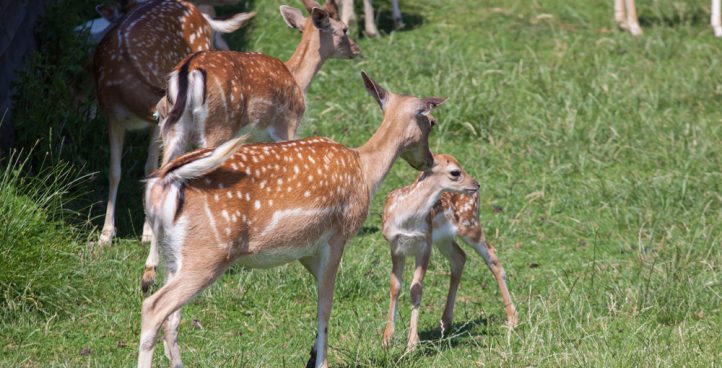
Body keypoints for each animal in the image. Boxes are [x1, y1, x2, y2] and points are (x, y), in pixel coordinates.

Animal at [94, 0, 255, 247]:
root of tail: (196, 10)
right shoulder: (112, 115)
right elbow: (114, 171)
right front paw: (105, 236)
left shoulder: (154, 124)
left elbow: (150, 167)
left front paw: (147, 233)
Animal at [137, 72, 444, 368]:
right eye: (431, 122)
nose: (429, 160)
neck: (365, 171)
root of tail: (165, 181)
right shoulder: (337, 236)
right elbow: (326, 304)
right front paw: (322, 362)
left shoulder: (306, 249)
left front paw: (312, 355)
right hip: (208, 253)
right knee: (154, 307)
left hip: (174, 254)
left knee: (172, 320)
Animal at [143, 0, 360, 294]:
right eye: (344, 29)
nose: (357, 49)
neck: (298, 77)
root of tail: (187, 72)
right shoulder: (287, 125)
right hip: (216, 126)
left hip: (172, 127)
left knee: (160, 173)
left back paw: (149, 272)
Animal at [380, 152, 516, 350]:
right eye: (455, 172)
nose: (476, 184)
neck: (407, 221)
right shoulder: (396, 246)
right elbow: (395, 287)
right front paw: (387, 339)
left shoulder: (425, 243)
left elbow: (416, 289)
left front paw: (412, 343)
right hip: (444, 239)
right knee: (460, 257)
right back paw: (445, 322)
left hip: (470, 224)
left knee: (492, 257)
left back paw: (512, 318)